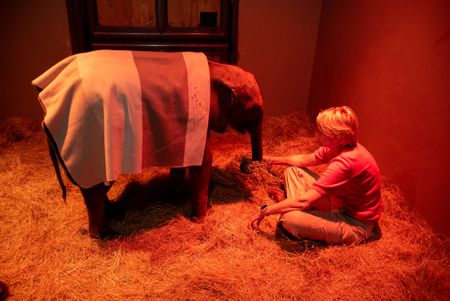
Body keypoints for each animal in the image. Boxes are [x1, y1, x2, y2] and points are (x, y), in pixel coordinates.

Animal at [33, 50, 264, 238]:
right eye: (255, 110)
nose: (251, 166)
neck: (217, 67)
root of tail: (47, 108)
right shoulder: (198, 115)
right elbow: (203, 161)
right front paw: (200, 220)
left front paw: (175, 199)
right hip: (88, 138)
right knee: (93, 189)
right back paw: (108, 236)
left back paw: (112, 214)